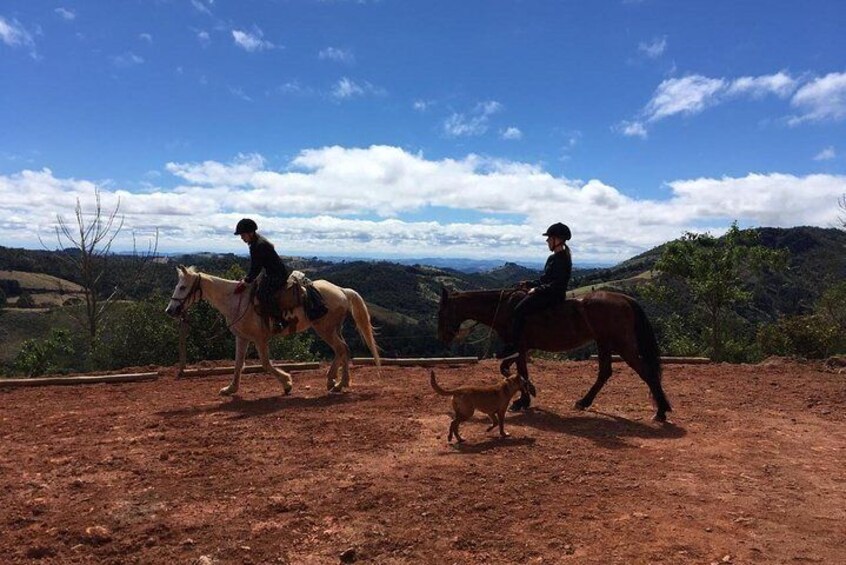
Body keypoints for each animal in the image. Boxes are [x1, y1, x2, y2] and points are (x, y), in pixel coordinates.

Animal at [166, 266, 380, 394]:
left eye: (183, 287)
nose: (170, 310)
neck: (236, 301)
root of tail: (342, 291)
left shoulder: (260, 339)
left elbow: (266, 364)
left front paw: (287, 383)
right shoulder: (242, 338)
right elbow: (238, 364)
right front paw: (230, 388)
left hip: (325, 329)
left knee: (341, 349)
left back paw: (338, 383)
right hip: (333, 329)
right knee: (342, 350)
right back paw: (335, 381)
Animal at [440, 288, 672, 420]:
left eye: (441, 311)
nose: (443, 337)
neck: (507, 309)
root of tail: (626, 299)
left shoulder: (520, 345)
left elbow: (521, 370)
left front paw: (522, 400)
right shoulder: (523, 347)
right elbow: (509, 367)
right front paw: (525, 393)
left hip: (622, 346)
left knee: (647, 373)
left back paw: (661, 411)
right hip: (604, 343)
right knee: (605, 372)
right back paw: (584, 402)